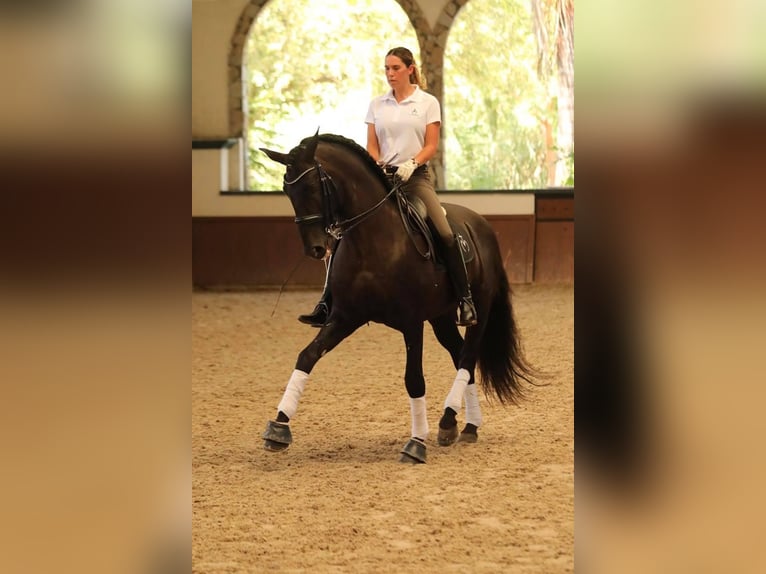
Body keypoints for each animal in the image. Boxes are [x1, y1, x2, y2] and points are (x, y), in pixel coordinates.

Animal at [260, 132, 536, 464]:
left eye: (313, 186)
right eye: (287, 190)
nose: (315, 249)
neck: (373, 240)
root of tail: (481, 224)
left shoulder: (411, 322)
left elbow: (414, 379)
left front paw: (415, 444)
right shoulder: (344, 317)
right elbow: (307, 356)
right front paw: (278, 427)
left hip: (478, 308)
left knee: (468, 357)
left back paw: (449, 421)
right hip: (441, 317)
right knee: (459, 355)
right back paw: (465, 425)